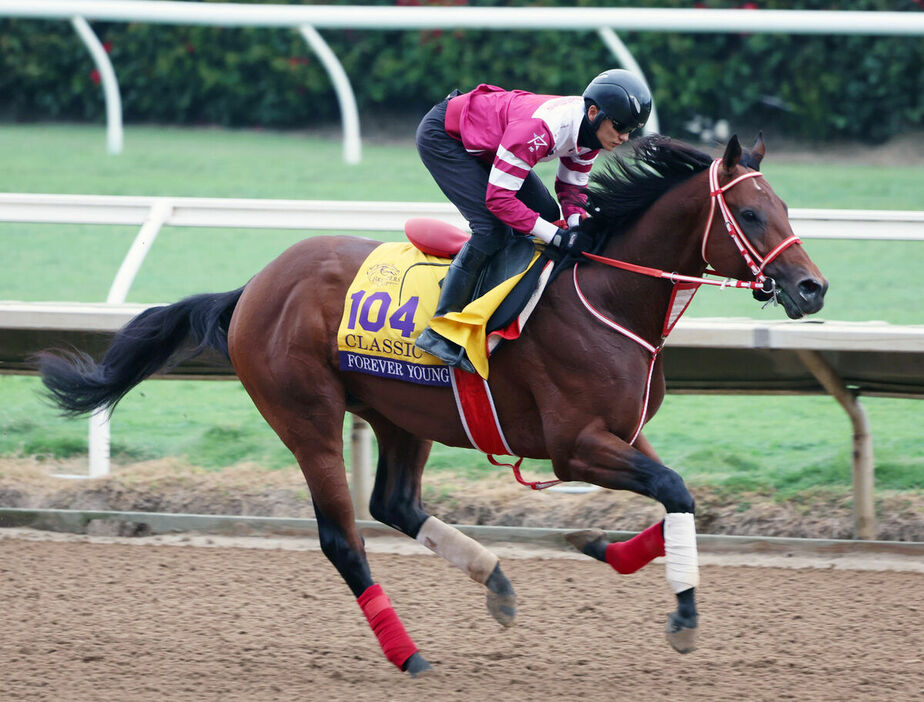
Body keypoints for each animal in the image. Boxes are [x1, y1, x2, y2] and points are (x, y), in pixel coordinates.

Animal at [38, 135, 832, 680]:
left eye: (786, 207)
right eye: (752, 212)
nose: (811, 288)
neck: (605, 293)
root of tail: (253, 287)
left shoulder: (619, 432)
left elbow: (679, 495)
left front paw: (602, 547)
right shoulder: (575, 443)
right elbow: (673, 488)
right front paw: (683, 613)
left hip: (401, 415)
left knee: (393, 502)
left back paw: (496, 582)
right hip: (308, 417)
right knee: (343, 537)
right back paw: (409, 654)